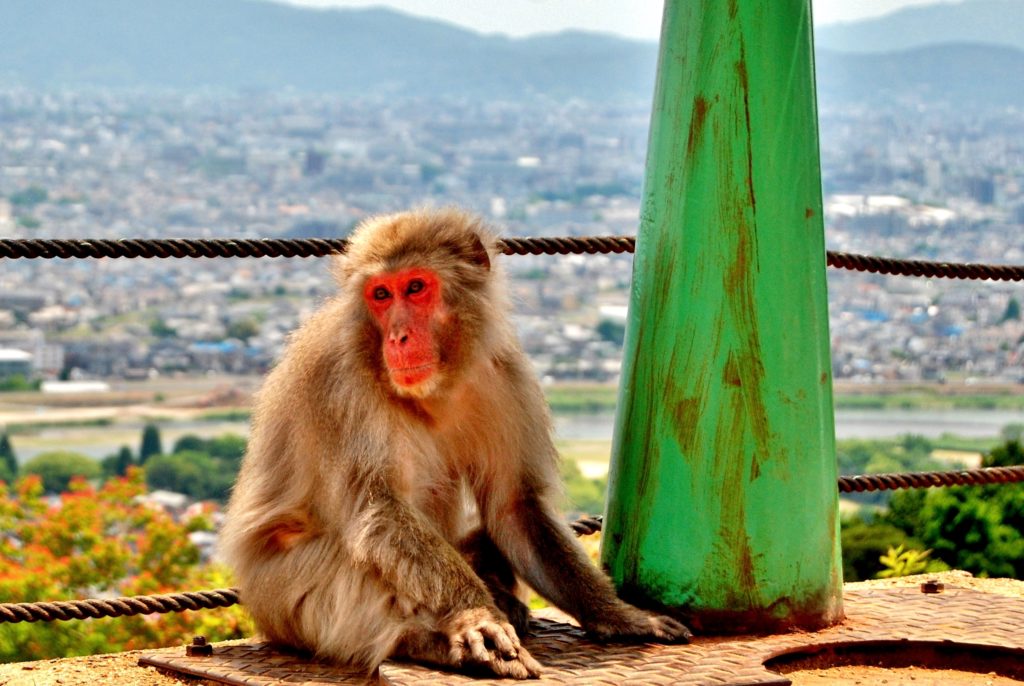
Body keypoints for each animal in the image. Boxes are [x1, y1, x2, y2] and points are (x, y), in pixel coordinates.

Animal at [220, 209, 692, 683]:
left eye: (415, 287)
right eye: (380, 295)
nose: (397, 337)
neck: (438, 384)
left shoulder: (506, 376)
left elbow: (515, 506)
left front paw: (617, 614)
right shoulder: (341, 382)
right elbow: (380, 514)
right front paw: (474, 615)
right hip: (282, 599)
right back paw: (430, 641)